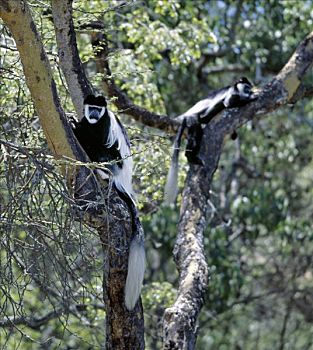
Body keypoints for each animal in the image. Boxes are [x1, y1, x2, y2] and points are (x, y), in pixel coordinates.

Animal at [71, 94, 144, 310]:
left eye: (98, 109)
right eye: (91, 108)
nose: (94, 115)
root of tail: (123, 180)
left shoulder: (103, 127)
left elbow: (95, 137)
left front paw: (74, 124)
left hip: (113, 161)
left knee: (99, 148)